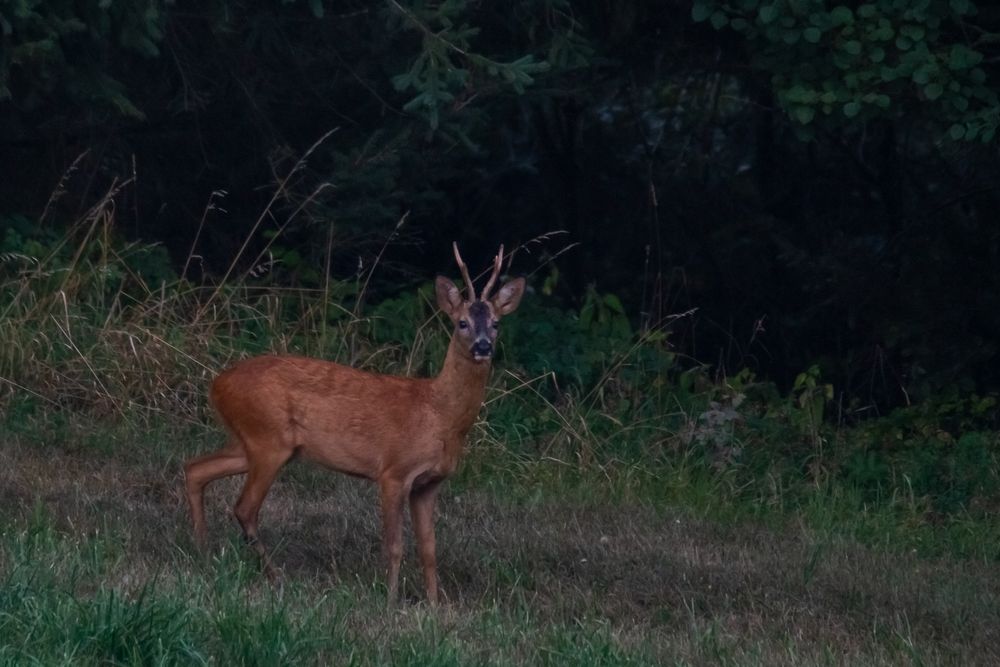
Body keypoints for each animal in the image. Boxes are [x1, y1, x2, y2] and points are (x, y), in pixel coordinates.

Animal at [183, 244, 524, 604]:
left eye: (496, 323)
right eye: (462, 323)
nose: (483, 346)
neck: (439, 415)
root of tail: (216, 384)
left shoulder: (429, 483)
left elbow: (429, 548)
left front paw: (434, 604)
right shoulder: (393, 471)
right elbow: (394, 545)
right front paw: (390, 600)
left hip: (251, 440)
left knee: (195, 468)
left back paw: (203, 552)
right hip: (268, 439)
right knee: (244, 507)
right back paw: (274, 577)